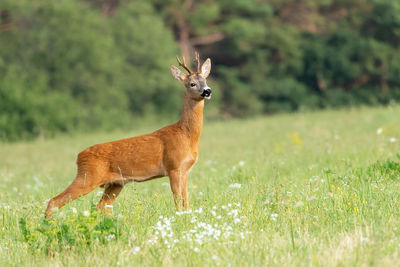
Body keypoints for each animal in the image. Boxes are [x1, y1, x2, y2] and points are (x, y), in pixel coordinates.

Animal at [44, 52, 212, 220]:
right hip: (88, 176)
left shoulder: (185, 170)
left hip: (115, 183)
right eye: (192, 84)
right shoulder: (174, 167)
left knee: (101, 206)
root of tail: (79, 157)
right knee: (54, 201)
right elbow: (178, 202)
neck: (186, 134)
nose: (207, 91)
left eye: (205, 80)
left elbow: (186, 202)